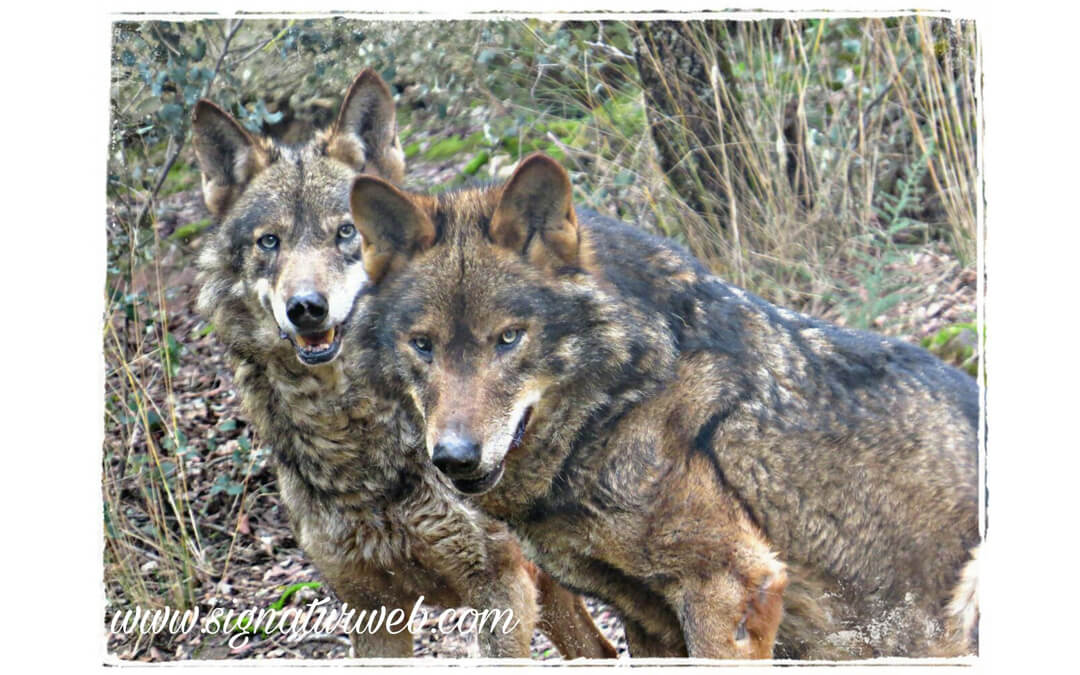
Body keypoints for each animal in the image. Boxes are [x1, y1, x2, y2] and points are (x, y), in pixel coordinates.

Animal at [190, 74, 616, 659]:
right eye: (269, 241)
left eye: (347, 232)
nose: (306, 308)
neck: (359, 451)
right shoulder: (370, 606)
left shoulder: (499, 589)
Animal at [350, 153, 981, 659]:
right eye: (423, 345)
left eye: (508, 338)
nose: (454, 456)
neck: (624, 401)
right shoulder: (648, 619)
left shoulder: (731, 586)